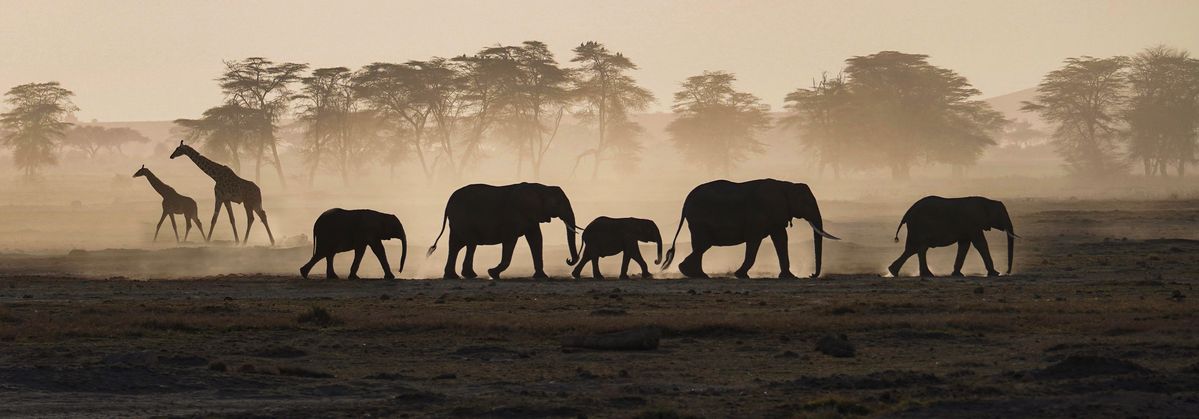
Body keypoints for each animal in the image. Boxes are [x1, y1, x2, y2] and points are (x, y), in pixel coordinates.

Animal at [427, 183, 579, 279]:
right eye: (558, 203)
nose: (568, 259)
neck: (542, 188)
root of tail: (449, 201)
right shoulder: (516, 214)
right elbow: (510, 240)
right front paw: (492, 273)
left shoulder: (531, 216)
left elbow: (536, 239)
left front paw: (542, 277)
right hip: (462, 219)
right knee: (469, 244)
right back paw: (467, 275)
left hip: (457, 222)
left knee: (457, 246)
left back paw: (454, 276)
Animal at [661, 179, 840, 279]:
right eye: (806, 203)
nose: (811, 275)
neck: (787, 185)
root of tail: (686, 202)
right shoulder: (761, 213)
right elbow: (755, 240)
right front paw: (740, 275)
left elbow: (781, 239)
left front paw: (789, 277)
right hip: (700, 219)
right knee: (703, 245)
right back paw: (690, 272)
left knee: (700, 246)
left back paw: (697, 275)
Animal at [887, 196, 1019, 278]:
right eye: (1001, 215)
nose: (1007, 272)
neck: (988, 201)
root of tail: (907, 214)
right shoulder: (973, 223)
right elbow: (980, 244)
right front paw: (995, 273)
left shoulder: (968, 227)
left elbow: (964, 245)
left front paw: (957, 274)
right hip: (919, 225)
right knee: (919, 248)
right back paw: (926, 274)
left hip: (915, 227)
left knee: (913, 249)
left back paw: (893, 272)